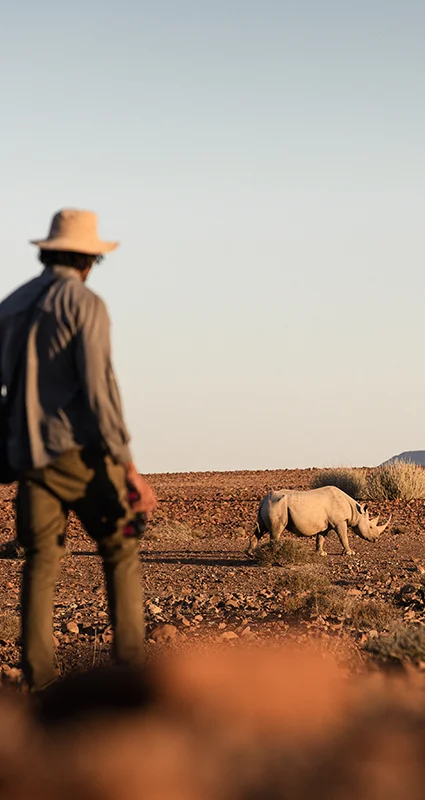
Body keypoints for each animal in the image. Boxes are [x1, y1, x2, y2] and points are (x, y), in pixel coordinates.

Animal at [247, 486, 391, 557]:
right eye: (371, 527)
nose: (376, 539)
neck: (355, 512)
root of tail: (263, 500)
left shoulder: (326, 525)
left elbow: (320, 538)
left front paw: (321, 553)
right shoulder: (339, 521)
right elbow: (343, 536)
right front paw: (350, 553)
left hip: (270, 505)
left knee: (261, 529)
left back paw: (250, 553)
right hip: (277, 505)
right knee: (276, 530)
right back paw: (276, 553)